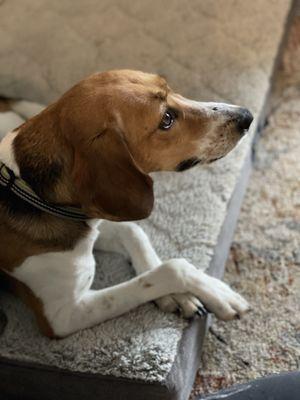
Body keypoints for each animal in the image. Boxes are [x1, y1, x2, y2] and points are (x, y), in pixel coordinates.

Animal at [0, 69, 253, 338]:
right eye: (166, 119)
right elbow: (172, 268)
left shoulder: (97, 220)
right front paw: (219, 293)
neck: (30, 190)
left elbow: (134, 232)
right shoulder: (62, 316)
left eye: (170, 88)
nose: (247, 116)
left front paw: (177, 297)